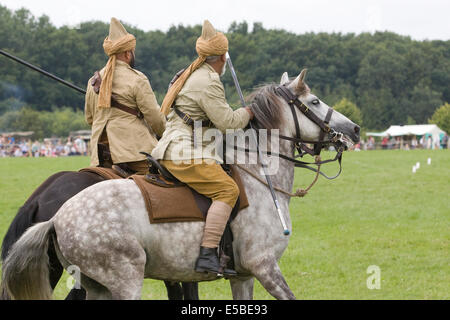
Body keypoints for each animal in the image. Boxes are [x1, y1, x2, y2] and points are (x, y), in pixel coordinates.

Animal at [0, 69, 358, 298]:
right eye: (314, 101)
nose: (353, 130)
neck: (258, 176)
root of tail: (56, 216)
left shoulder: (242, 277)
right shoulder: (264, 267)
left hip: (95, 285)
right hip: (125, 279)